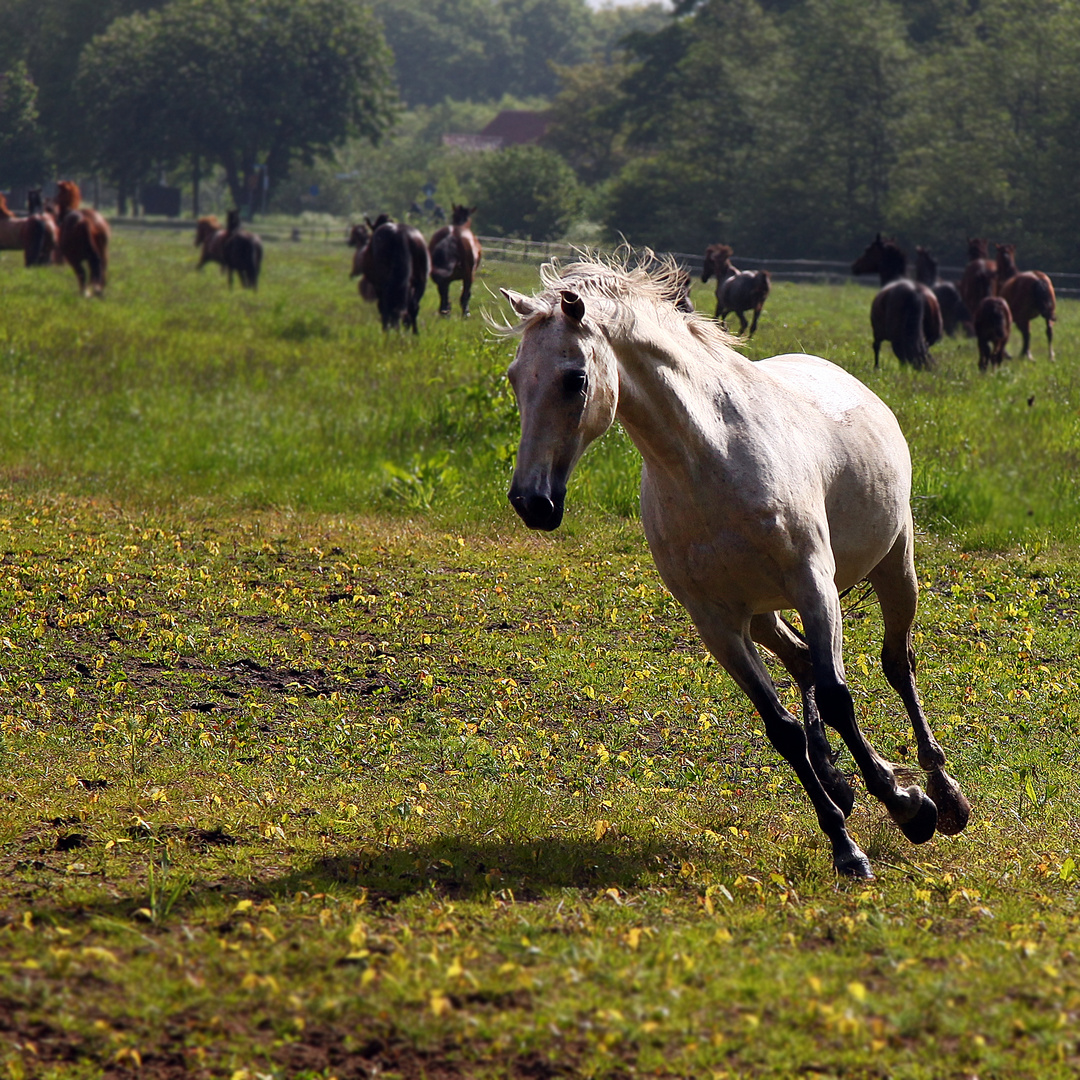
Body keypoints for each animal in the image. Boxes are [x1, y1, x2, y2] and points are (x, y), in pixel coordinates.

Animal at [503, 257, 972, 881]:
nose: (532, 502)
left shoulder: (814, 585)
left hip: (895, 565)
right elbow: (783, 729)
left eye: (574, 378)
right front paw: (845, 843)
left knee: (897, 664)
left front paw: (909, 808)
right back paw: (842, 781)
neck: (710, 461)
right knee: (804, 665)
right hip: (763, 615)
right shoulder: (718, 622)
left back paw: (944, 794)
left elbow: (840, 697)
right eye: (514, 378)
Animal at [846, 234, 941, 369]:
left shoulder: (877, 332)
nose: (854, 266)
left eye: (868, 250)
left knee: (902, 356)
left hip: (897, 338)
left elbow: (876, 347)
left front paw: (876, 368)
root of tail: (915, 291)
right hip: (929, 337)